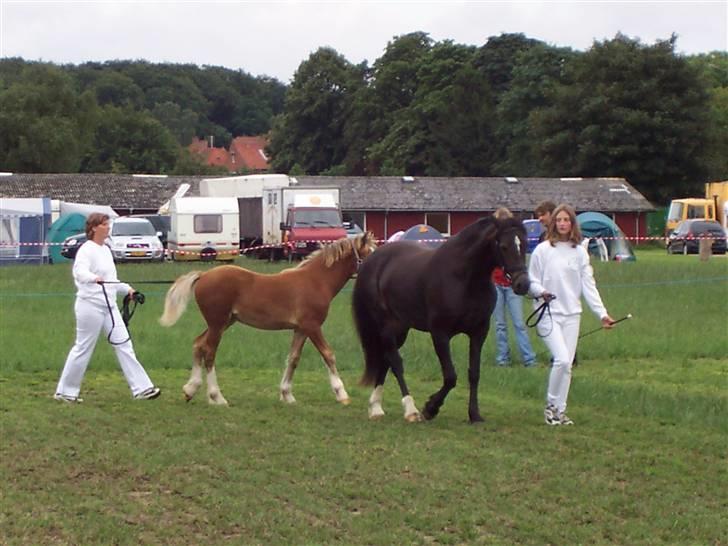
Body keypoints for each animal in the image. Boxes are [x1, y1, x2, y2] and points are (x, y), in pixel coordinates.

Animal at [159, 233, 376, 404]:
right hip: (217, 323)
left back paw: (190, 390)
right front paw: (342, 394)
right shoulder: (312, 326)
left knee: (198, 344)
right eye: (369, 253)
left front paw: (287, 395)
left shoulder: (300, 329)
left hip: (223, 322)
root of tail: (203, 275)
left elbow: (293, 358)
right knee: (209, 352)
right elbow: (328, 354)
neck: (317, 281)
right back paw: (217, 397)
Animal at [350, 216, 528, 420]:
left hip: (401, 329)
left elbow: (474, 374)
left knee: (385, 360)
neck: (464, 278)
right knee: (395, 363)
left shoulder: (479, 332)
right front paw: (430, 408)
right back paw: (410, 410)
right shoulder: (440, 334)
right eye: (504, 246)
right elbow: (450, 376)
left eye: (524, 244)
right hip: (386, 326)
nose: (523, 284)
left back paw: (376, 407)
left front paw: (474, 414)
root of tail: (371, 260)